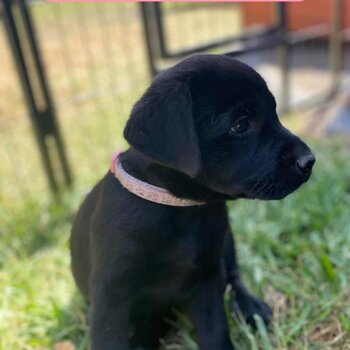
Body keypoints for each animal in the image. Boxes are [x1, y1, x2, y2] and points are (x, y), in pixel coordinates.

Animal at [70, 53, 314, 348]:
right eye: (240, 124)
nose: (309, 161)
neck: (177, 207)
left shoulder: (208, 281)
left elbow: (216, 331)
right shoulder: (110, 297)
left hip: (226, 243)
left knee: (234, 275)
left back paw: (251, 307)